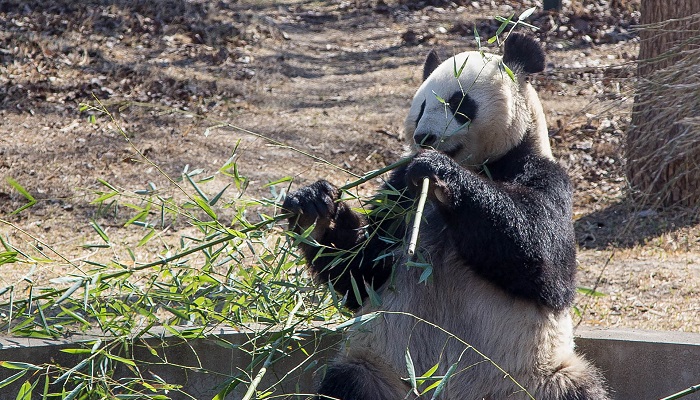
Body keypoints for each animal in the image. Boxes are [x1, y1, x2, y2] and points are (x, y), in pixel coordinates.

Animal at [282, 32, 608, 398]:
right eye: (421, 106)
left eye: (460, 102)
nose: (425, 137)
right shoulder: (400, 193)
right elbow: (362, 271)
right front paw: (314, 209)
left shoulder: (540, 172)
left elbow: (545, 260)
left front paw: (440, 170)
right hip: (376, 370)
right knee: (344, 382)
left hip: (539, 378)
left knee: (580, 387)